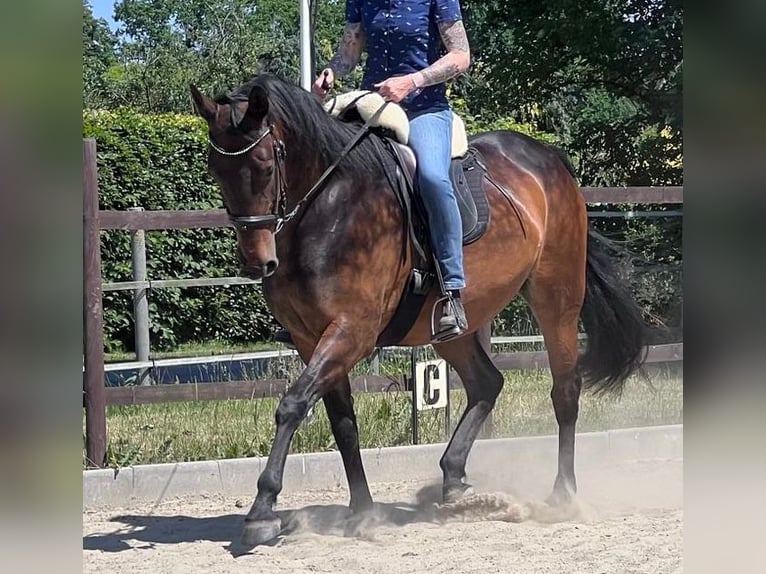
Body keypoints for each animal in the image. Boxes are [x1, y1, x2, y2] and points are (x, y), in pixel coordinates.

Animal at [190, 73, 648, 548]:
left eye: (264, 165)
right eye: (215, 170)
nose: (256, 262)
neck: (330, 205)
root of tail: (548, 158)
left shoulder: (351, 331)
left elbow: (293, 404)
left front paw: (262, 510)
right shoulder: (309, 337)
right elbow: (342, 422)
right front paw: (363, 510)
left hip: (556, 298)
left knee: (565, 391)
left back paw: (562, 495)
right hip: (455, 325)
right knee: (486, 383)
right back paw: (453, 481)